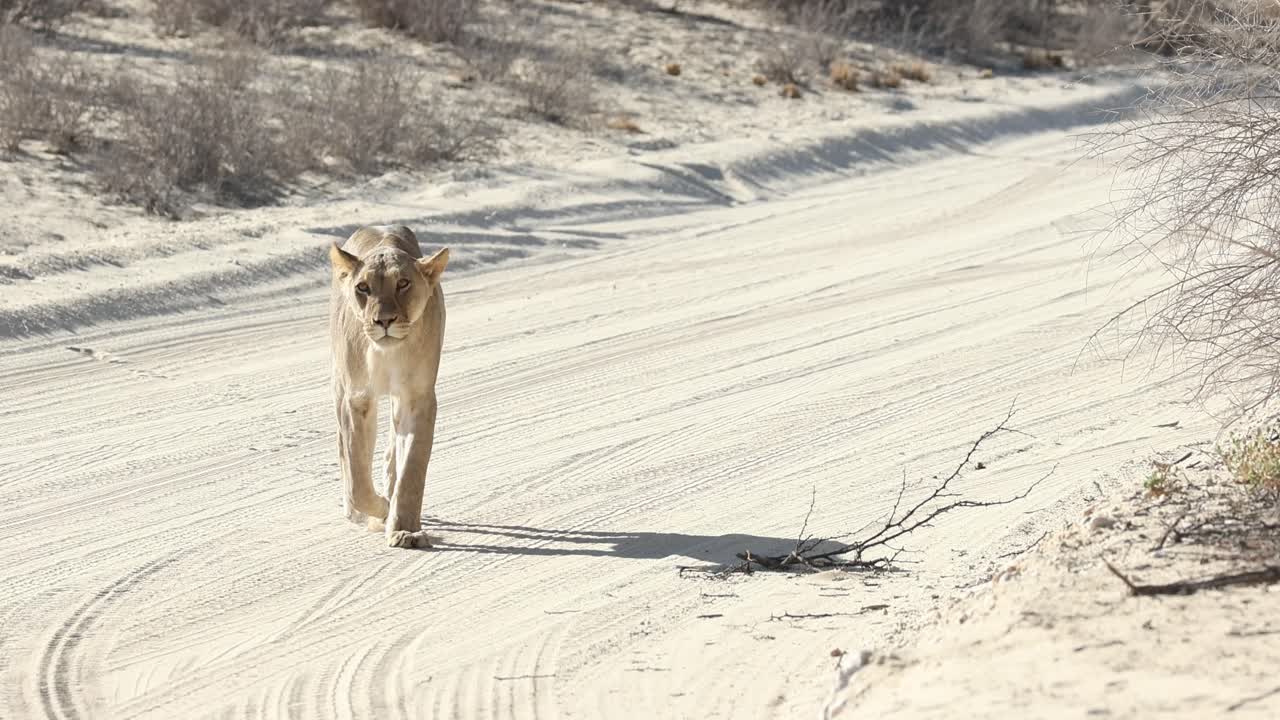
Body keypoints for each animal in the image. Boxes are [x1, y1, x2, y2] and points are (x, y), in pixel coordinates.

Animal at [329, 225, 449, 549]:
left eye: (403, 283)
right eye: (363, 288)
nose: (384, 321)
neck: (386, 353)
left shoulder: (417, 398)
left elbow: (412, 468)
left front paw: (404, 530)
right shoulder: (356, 399)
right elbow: (358, 478)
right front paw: (379, 508)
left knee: (393, 450)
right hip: (339, 386)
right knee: (345, 455)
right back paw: (356, 512)